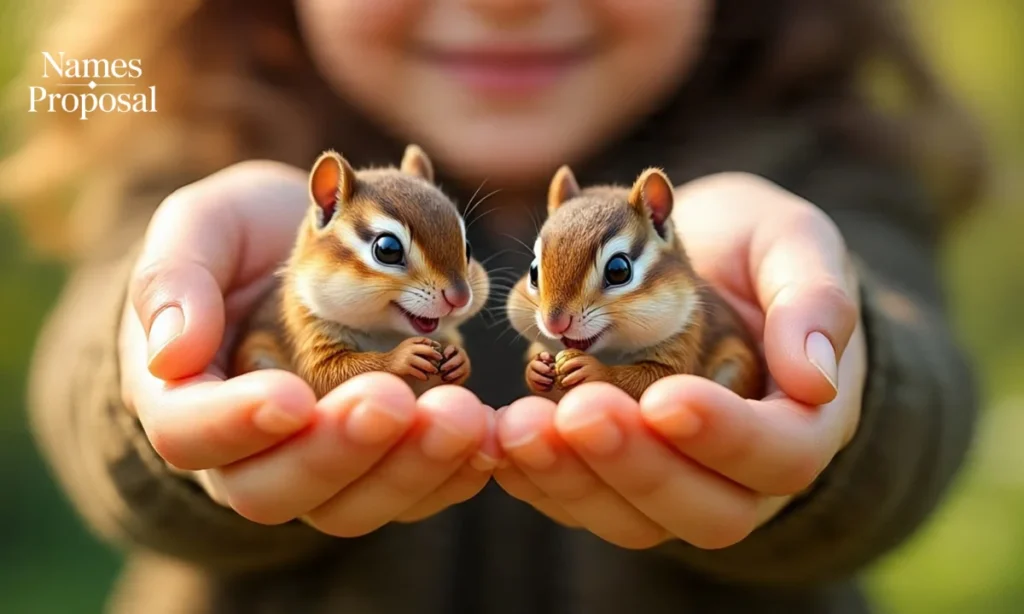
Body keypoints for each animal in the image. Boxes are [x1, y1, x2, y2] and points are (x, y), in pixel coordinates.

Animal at [230, 144, 490, 399]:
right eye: (387, 249)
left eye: (467, 248)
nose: (460, 297)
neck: (383, 332)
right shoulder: (306, 329)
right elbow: (325, 374)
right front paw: (401, 357)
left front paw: (460, 359)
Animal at [505, 165, 765, 403]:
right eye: (533, 271)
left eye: (618, 271)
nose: (555, 323)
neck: (611, 352)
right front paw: (536, 369)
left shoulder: (685, 341)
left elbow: (653, 378)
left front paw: (593, 370)